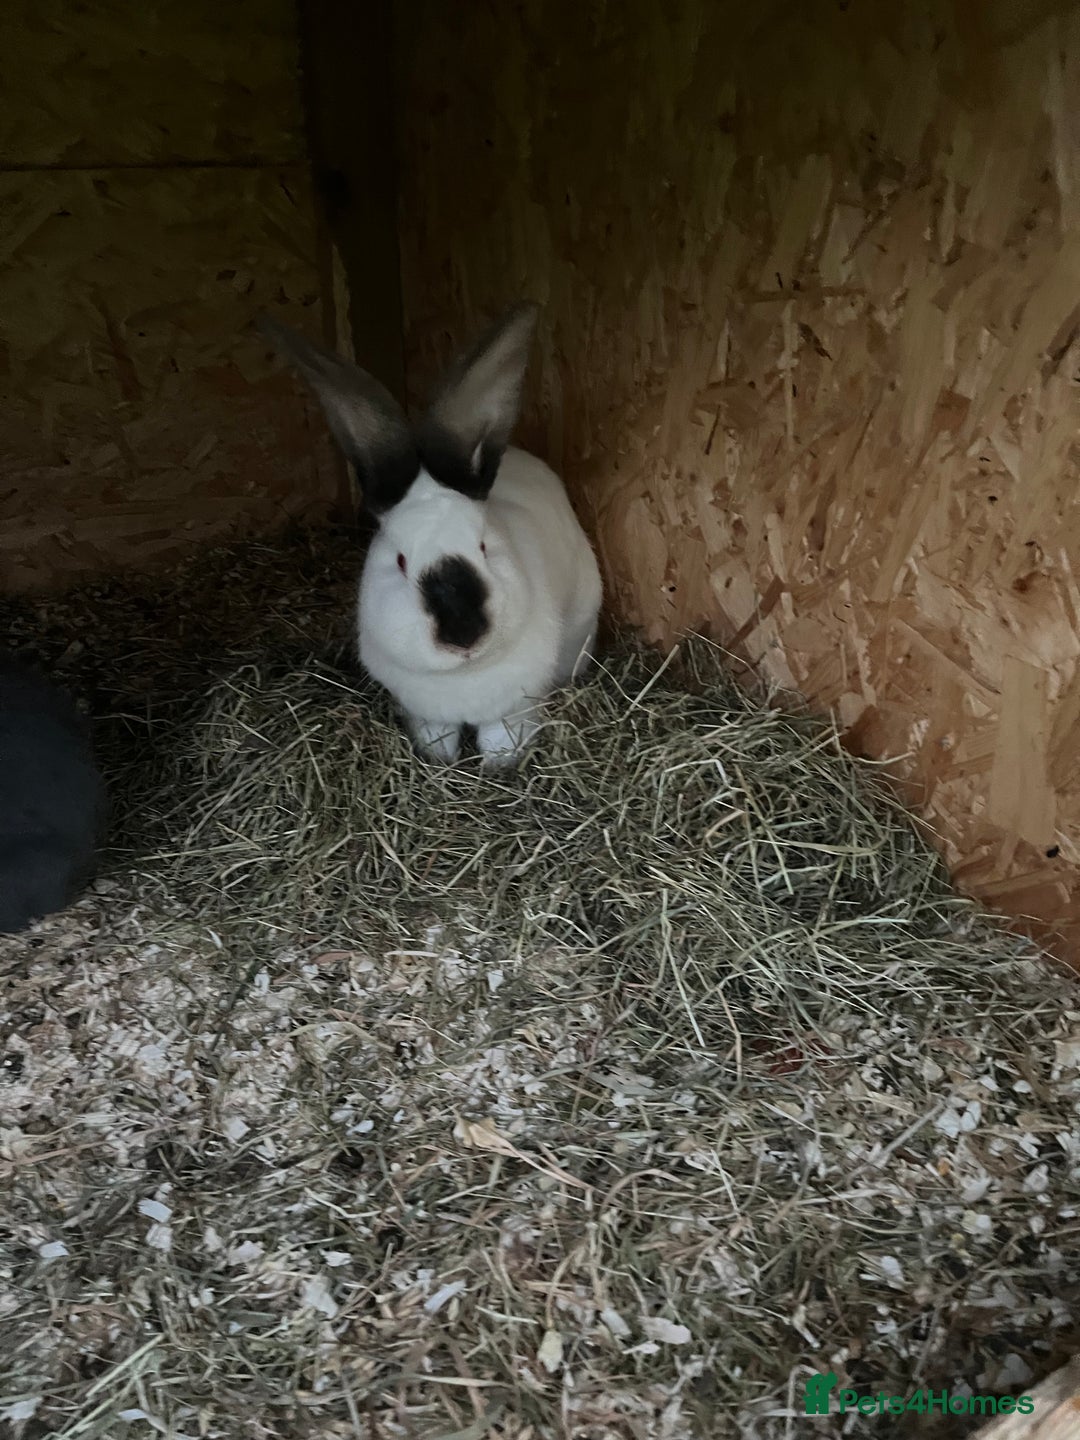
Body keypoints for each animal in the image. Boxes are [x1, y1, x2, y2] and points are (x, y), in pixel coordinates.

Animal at [259, 302, 603, 768]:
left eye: (483, 547)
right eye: (401, 562)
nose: (464, 634)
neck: (463, 674)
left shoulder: (515, 709)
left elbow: (502, 740)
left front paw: (499, 769)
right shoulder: (425, 713)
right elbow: (437, 738)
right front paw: (438, 762)